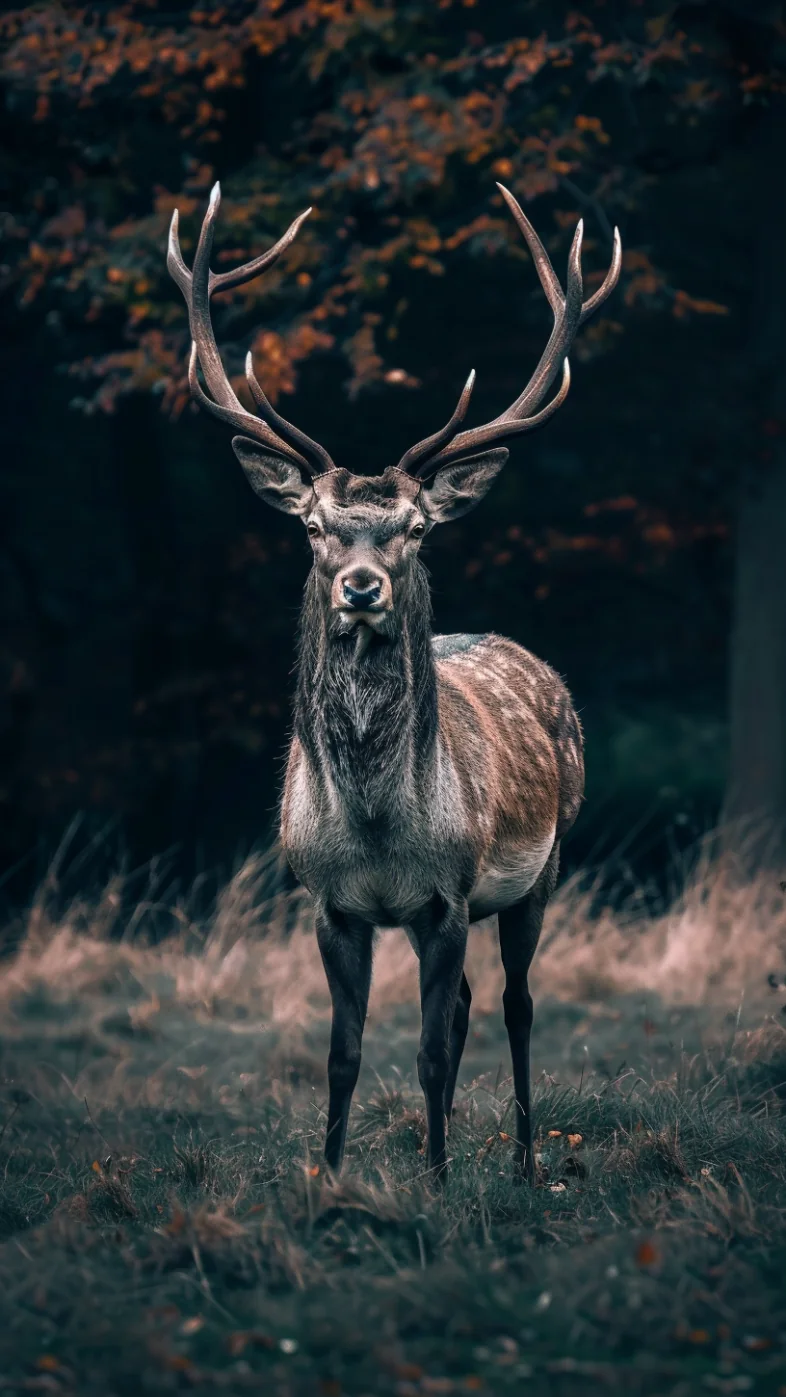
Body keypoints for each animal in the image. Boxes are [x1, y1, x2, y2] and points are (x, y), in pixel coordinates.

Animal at [168, 180, 620, 1182]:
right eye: (312, 524)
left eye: (415, 527)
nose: (362, 585)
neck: (377, 829)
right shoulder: (334, 905)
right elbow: (344, 1052)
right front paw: (333, 1176)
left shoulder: (448, 895)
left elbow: (431, 1049)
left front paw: (441, 1180)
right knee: (468, 1010)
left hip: (543, 866)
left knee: (515, 1008)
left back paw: (522, 1160)